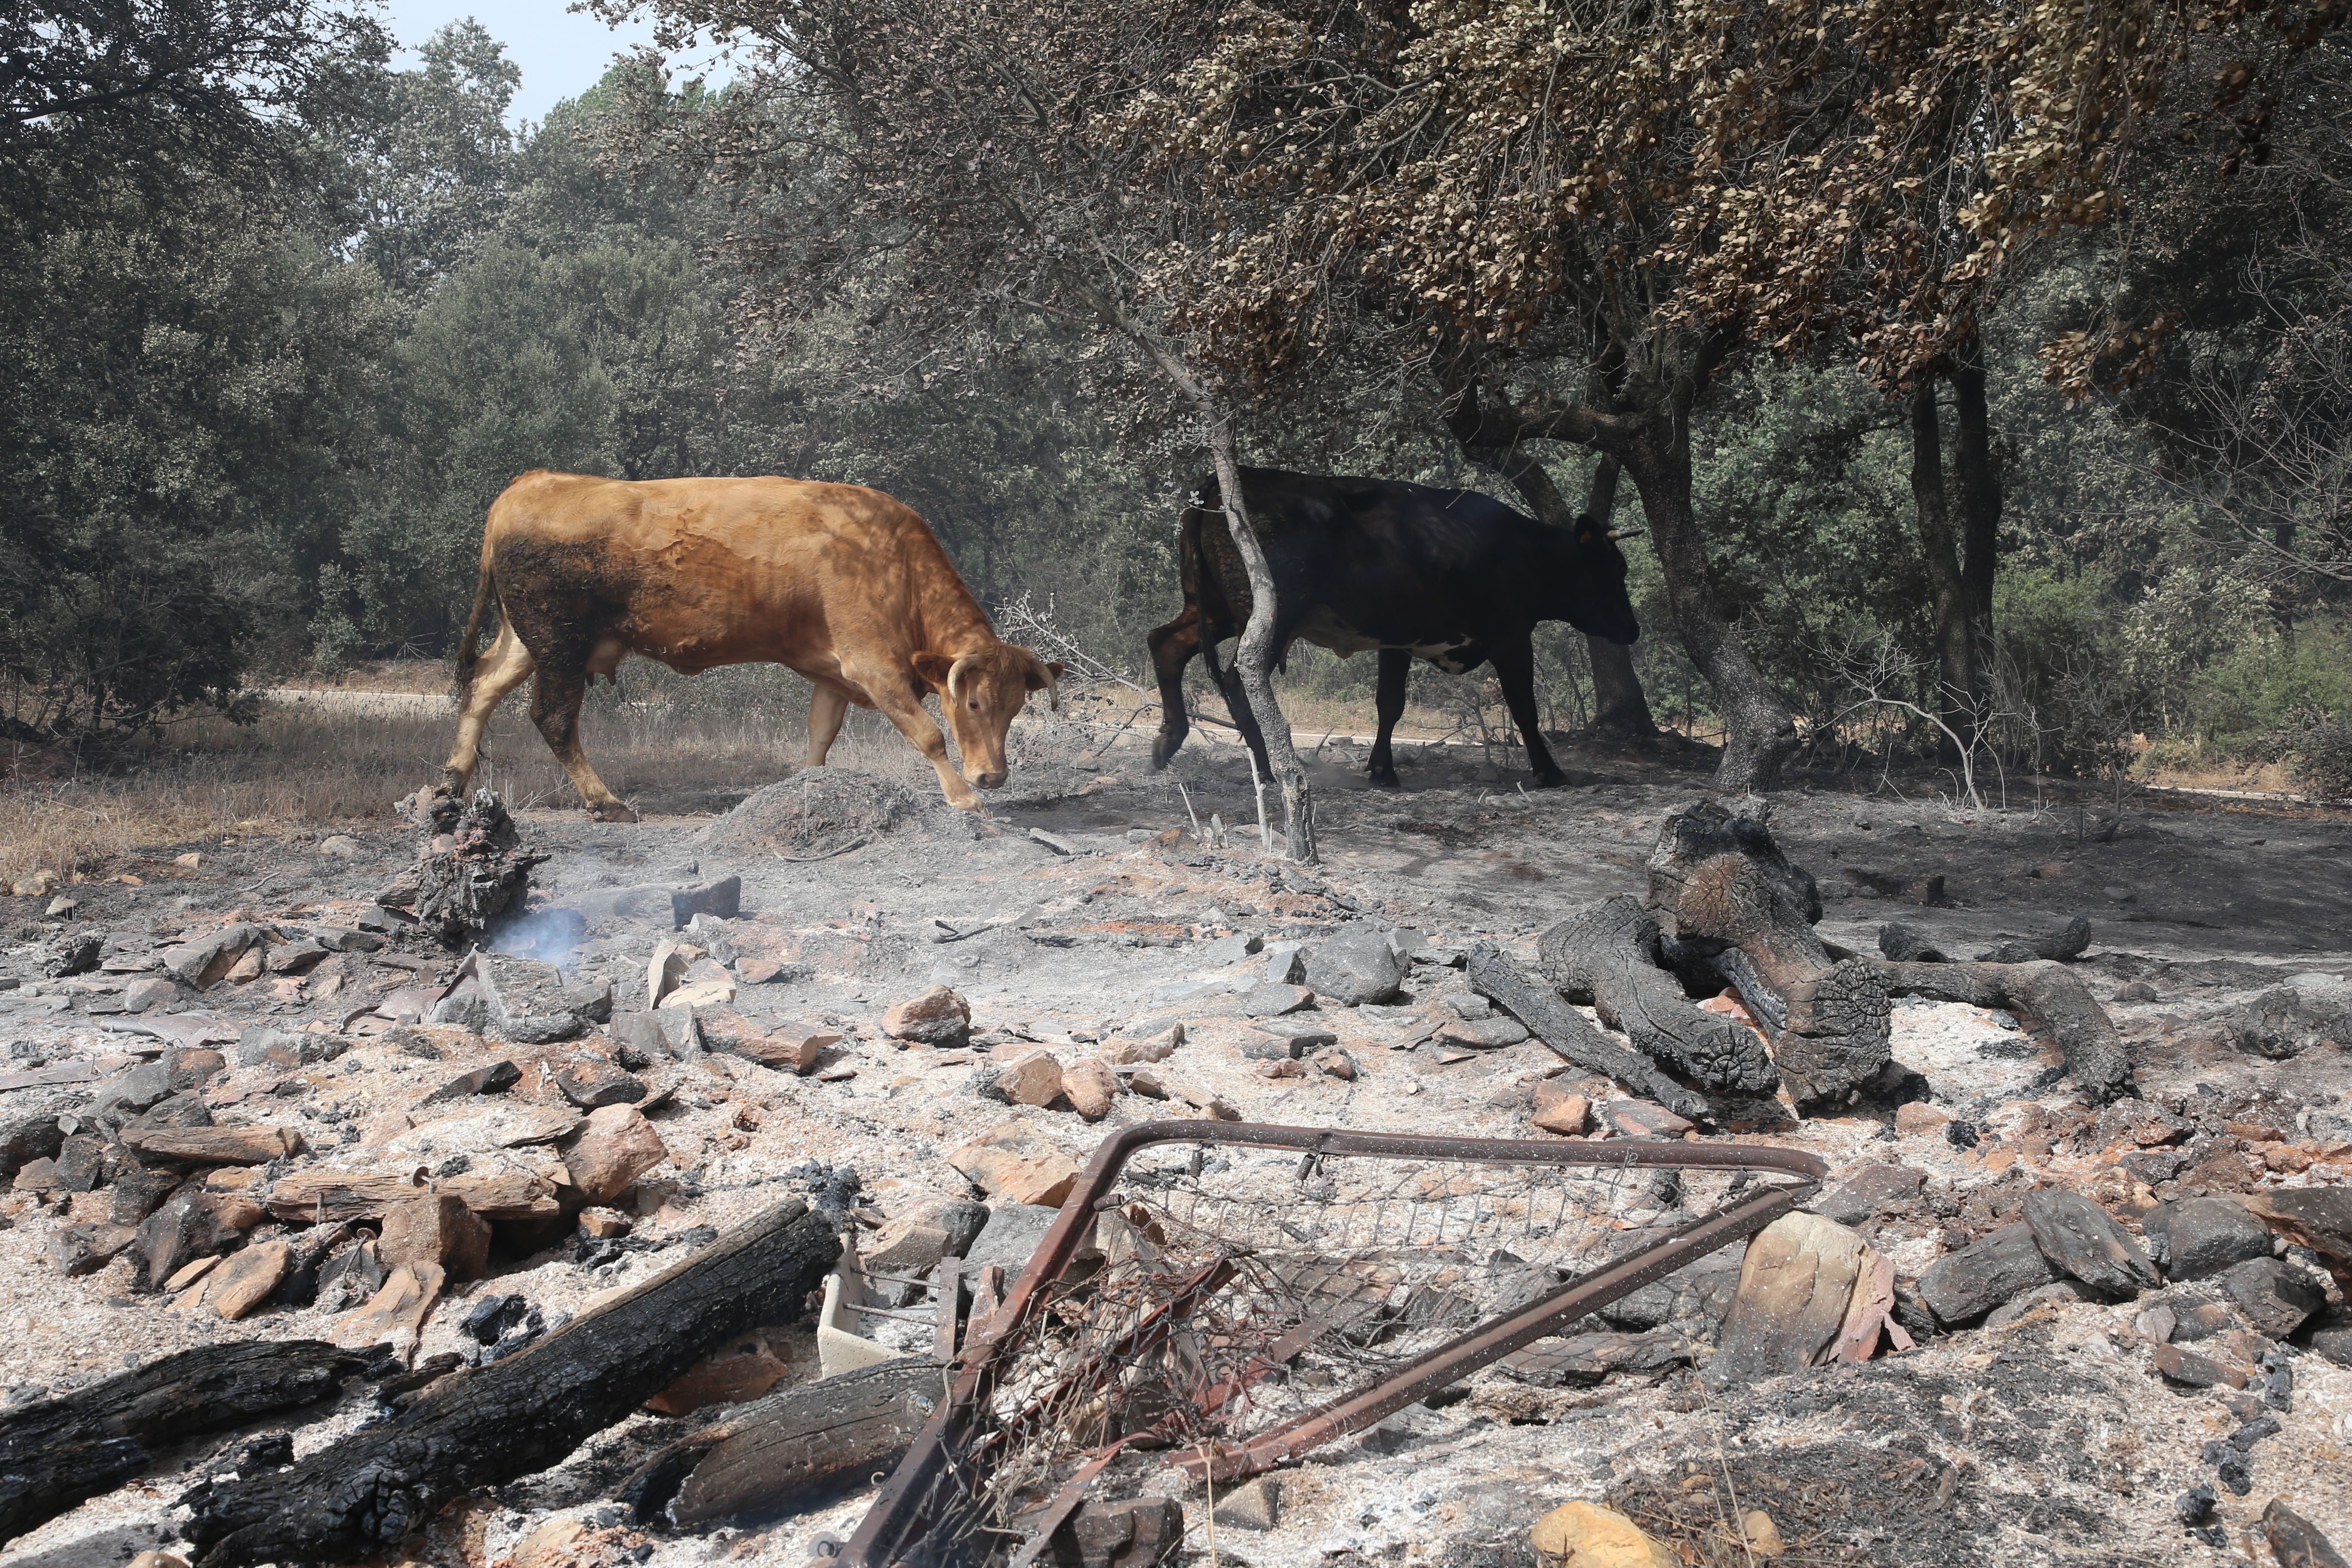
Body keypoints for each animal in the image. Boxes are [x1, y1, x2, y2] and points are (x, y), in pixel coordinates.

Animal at [442, 470, 1068, 823]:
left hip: (528, 642)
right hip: (560, 647)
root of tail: (531, 482)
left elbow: (819, 737)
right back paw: (607, 803)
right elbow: (929, 735)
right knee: (552, 719)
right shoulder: (875, 668)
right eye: (974, 703)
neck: (893, 559)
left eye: (1017, 706)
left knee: (482, 688)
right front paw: (963, 798)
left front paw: (806, 789)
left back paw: (452, 780)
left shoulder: (833, 674)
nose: (994, 776)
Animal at [1148, 463, 1646, 785]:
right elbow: (1524, 706)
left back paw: (1169, 742)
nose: (1633, 629)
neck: (1523, 549)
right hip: (1270, 615)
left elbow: (1389, 703)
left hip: (1212, 609)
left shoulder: (1397, 640)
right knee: (1239, 678)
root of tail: (1227, 482)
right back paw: (1267, 767)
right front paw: (1549, 771)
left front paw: (1382, 769)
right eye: (1614, 570)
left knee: (1166, 643)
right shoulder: (1511, 637)